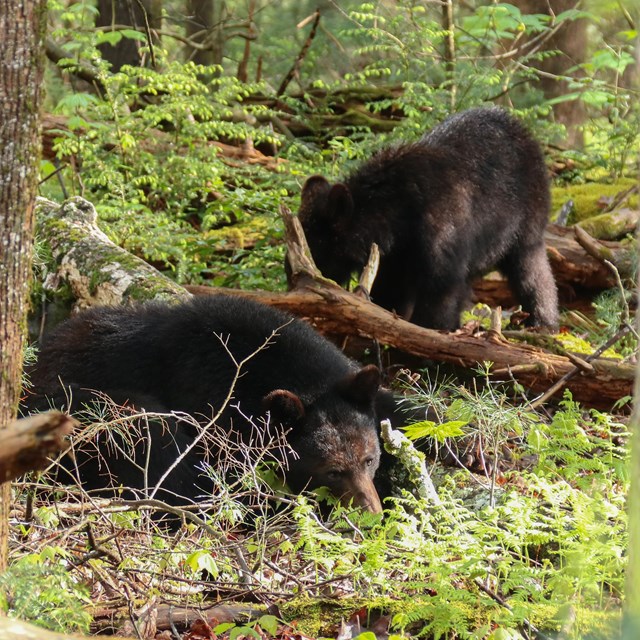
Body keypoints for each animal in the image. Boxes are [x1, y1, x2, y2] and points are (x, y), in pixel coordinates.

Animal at [295, 106, 559, 331]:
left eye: (316, 251)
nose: (293, 283)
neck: (397, 215)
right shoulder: (394, 255)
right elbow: (391, 287)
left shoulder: (442, 230)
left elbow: (441, 287)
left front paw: (431, 331)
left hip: (526, 221)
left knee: (531, 270)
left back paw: (543, 322)